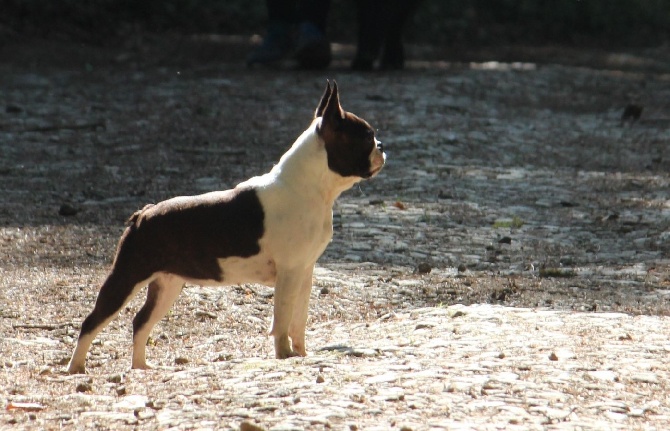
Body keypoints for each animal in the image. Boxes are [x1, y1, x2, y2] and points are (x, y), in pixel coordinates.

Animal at [67, 82, 388, 374]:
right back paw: (76, 367)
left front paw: (300, 353)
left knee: (140, 322)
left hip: (168, 285)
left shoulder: (304, 272)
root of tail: (143, 214)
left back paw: (141, 367)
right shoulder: (289, 273)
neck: (312, 190)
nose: (382, 147)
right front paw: (284, 355)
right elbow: (282, 319)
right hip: (127, 276)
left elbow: (299, 319)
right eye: (367, 136)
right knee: (92, 321)